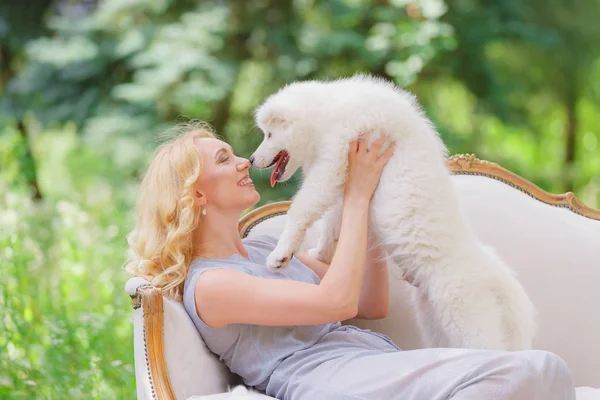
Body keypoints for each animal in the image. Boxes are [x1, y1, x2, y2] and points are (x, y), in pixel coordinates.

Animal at [251, 75, 536, 350]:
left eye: (268, 135)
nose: (252, 160)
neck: (325, 117)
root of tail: (492, 271)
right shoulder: (346, 183)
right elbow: (332, 224)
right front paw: (320, 254)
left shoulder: (333, 163)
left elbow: (303, 208)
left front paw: (280, 254)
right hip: (433, 319)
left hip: (466, 316)